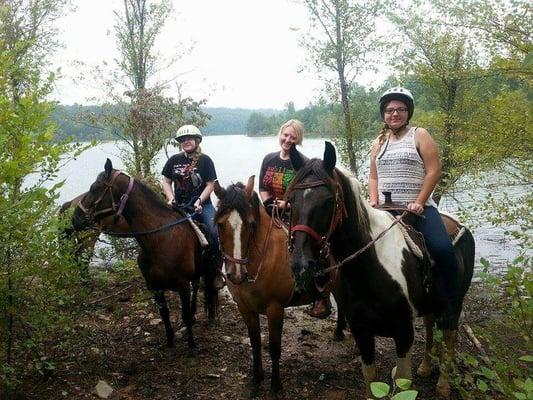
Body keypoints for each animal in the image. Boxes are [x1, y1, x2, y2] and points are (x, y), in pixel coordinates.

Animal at [72, 159, 218, 346]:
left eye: (94, 188)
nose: (75, 219)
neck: (161, 239)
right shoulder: (154, 287)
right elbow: (164, 315)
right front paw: (170, 342)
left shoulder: (183, 285)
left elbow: (184, 315)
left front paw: (191, 345)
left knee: (200, 288)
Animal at [214, 177, 348, 394]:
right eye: (219, 225)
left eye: (251, 224)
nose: (236, 274)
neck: (262, 259)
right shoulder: (245, 308)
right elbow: (255, 342)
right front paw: (257, 377)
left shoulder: (275, 308)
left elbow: (274, 348)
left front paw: (276, 386)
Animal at [286, 142, 474, 396]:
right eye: (291, 200)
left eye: (328, 201)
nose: (300, 264)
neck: (370, 269)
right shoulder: (361, 331)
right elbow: (371, 378)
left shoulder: (404, 332)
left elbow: (403, 383)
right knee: (429, 325)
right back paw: (425, 367)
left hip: (454, 302)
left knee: (450, 335)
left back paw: (443, 385)